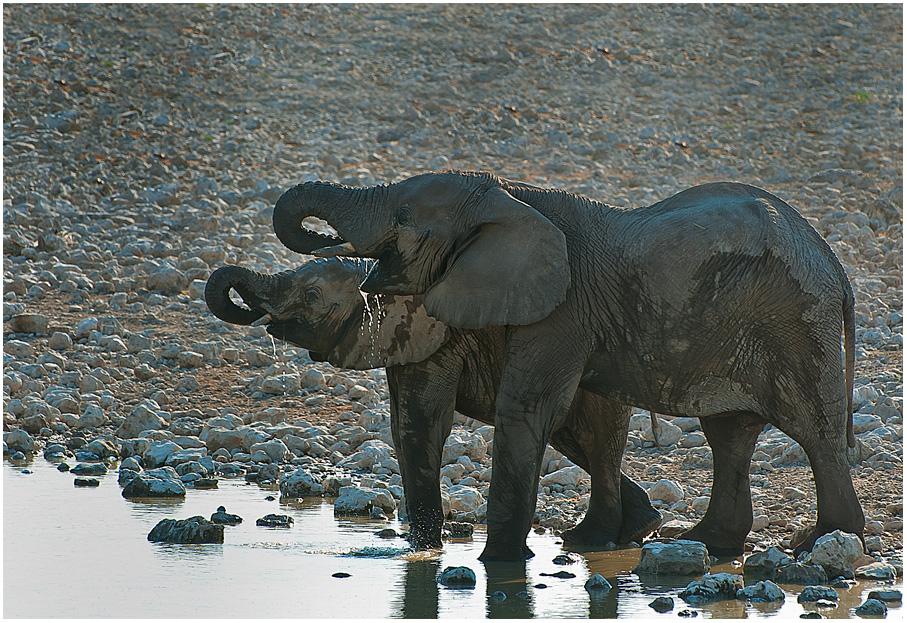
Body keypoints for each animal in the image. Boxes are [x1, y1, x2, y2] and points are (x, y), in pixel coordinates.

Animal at [206, 258, 664, 552]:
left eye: (313, 294)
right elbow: (400, 426)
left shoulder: (441, 334)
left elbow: (421, 424)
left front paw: (423, 549)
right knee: (572, 440)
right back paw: (638, 528)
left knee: (593, 441)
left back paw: (597, 539)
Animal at [270, 169, 864, 560]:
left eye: (401, 218)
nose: (327, 243)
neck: (510, 198)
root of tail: (833, 261)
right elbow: (430, 417)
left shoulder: (563, 307)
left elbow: (523, 410)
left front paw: (499, 566)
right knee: (730, 434)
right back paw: (701, 542)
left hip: (795, 321)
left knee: (814, 431)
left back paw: (823, 543)